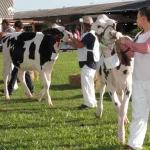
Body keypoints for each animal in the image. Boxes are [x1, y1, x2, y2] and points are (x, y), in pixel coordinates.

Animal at [92, 14, 133, 143]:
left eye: (114, 23)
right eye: (98, 25)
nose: (114, 33)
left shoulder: (128, 87)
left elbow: (123, 108)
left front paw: (122, 133)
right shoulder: (110, 87)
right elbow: (117, 107)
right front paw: (121, 134)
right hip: (102, 80)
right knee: (101, 93)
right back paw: (99, 111)